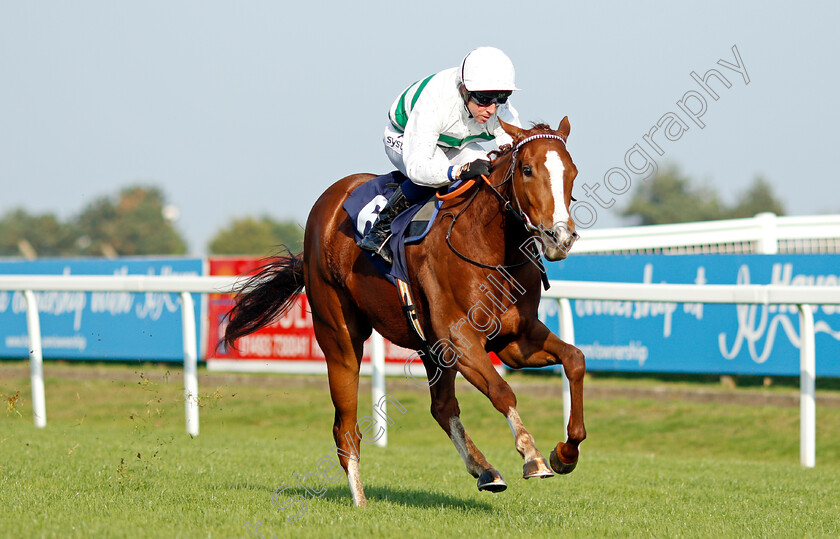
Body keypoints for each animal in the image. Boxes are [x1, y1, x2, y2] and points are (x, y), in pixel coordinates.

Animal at [226, 117, 588, 506]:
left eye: (572, 172)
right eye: (527, 169)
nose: (560, 237)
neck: (489, 247)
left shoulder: (515, 339)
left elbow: (575, 360)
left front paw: (566, 453)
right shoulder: (460, 340)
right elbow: (502, 390)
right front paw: (532, 456)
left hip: (428, 346)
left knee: (442, 407)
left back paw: (485, 470)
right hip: (340, 337)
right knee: (345, 428)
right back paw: (360, 501)